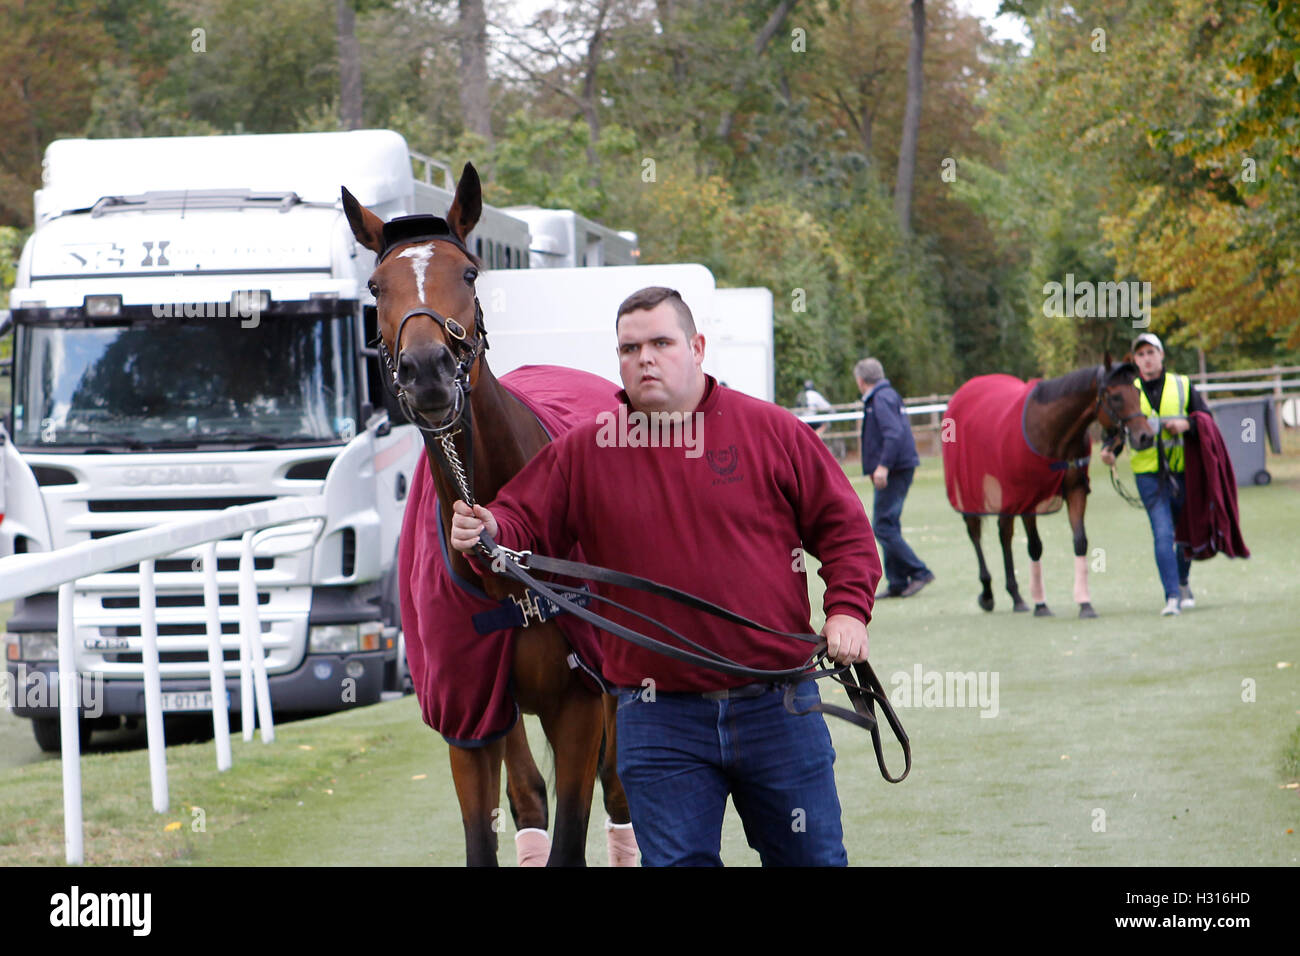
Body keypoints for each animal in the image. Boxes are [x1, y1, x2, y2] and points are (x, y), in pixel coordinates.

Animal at [343, 164, 631, 868]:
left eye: (470, 273)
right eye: (375, 285)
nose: (426, 369)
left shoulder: (581, 703)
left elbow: (573, 838)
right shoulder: (469, 718)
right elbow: (491, 832)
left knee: (619, 792)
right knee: (528, 796)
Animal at [941, 358, 1154, 621]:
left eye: (1137, 392)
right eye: (1115, 397)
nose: (1145, 436)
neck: (1052, 430)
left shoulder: (1075, 490)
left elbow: (1080, 541)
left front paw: (1084, 603)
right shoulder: (1028, 499)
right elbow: (1035, 546)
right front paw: (1041, 605)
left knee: (1004, 534)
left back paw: (1016, 596)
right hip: (973, 493)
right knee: (975, 534)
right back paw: (988, 594)